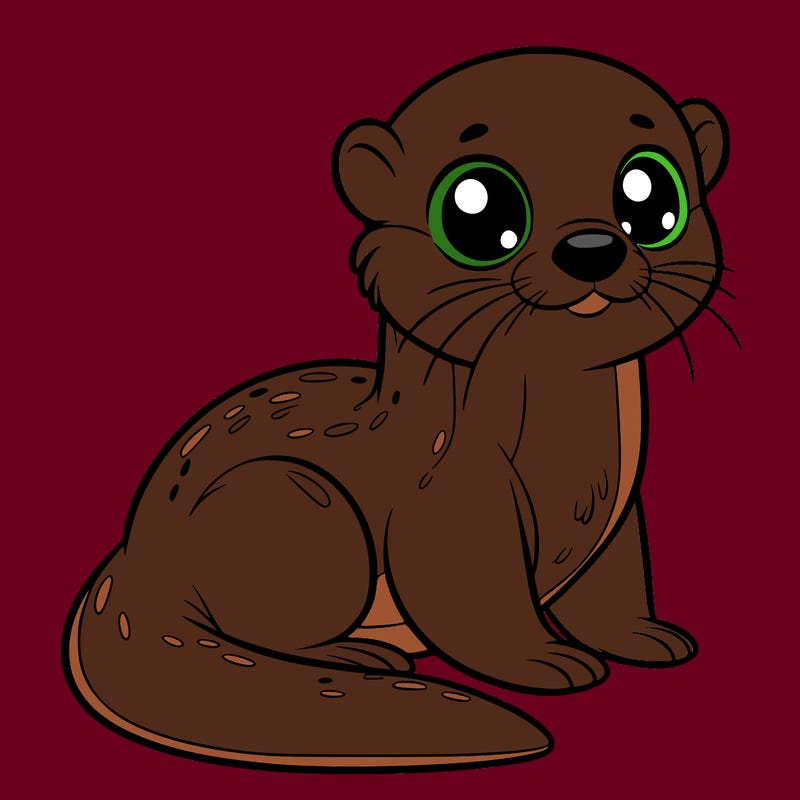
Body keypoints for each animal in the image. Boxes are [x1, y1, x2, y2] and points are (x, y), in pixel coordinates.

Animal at [63, 48, 729, 770]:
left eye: (651, 194)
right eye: (475, 207)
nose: (591, 249)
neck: (578, 463)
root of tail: (134, 555)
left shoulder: (618, 514)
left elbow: (611, 588)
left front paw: (645, 637)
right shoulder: (453, 498)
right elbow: (474, 602)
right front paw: (546, 662)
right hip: (294, 502)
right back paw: (362, 654)